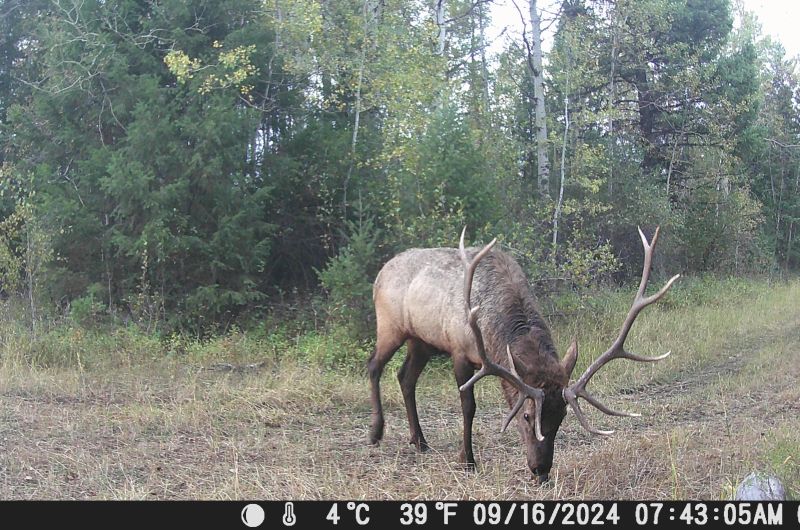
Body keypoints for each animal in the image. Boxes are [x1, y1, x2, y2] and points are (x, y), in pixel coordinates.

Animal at [367, 226, 679, 483]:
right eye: (527, 416)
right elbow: (468, 406)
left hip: (421, 340)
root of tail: (380, 272)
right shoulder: (459, 351)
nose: (541, 471)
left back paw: (419, 440)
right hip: (390, 326)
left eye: (562, 415)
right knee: (374, 366)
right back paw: (376, 433)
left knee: (405, 377)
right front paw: (467, 460)